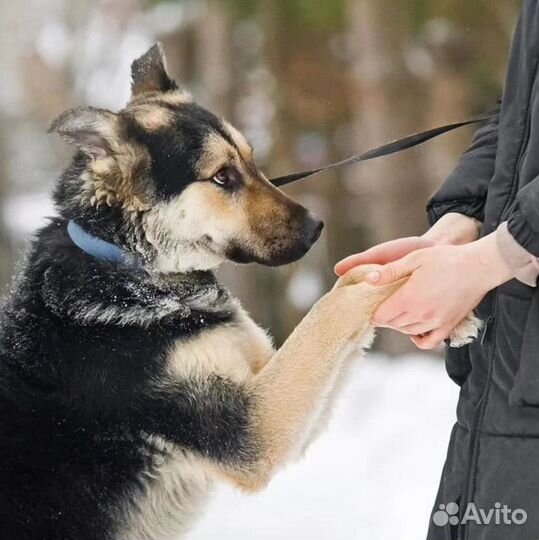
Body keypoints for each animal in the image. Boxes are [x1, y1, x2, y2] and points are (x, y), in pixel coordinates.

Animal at [0, 43, 480, 540]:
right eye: (222, 177)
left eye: (251, 161)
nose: (316, 228)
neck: (126, 267)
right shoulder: (257, 428)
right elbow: (331, 303)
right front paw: (421, 281)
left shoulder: (267, 384)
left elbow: (341, 302)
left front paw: (446, 298)